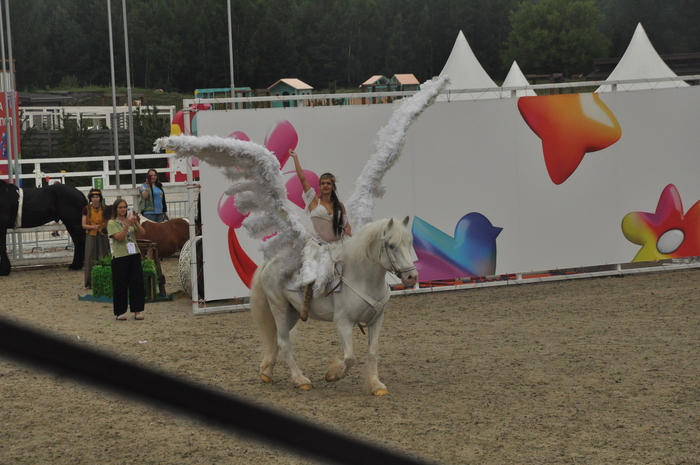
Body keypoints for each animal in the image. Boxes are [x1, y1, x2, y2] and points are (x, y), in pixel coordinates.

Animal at [251, 216, 418, 396]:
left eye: (409, 243)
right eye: (391, 245)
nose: (412, 277)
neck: (361, 277)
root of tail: (270, 262)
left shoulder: (376, 320)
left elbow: (373, 352)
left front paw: (376, 385)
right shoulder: (343, 322)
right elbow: (350, 357)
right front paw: (332, 375)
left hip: (293, 313)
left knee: (276, 338)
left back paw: (266, 372)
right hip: (279, 307)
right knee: (284, 343)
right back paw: (300, 380)